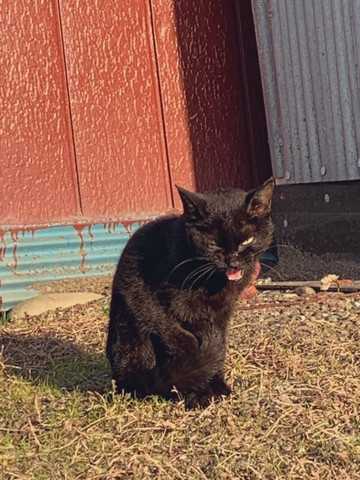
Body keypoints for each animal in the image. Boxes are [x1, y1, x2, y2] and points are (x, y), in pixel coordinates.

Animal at [105, 178, 274, 406]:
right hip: (130, 334)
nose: (233, 261)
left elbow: (219, 342)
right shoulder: (150, 299)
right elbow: (173, 330)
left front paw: (216, 383)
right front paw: (198, 380)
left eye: (247, 241)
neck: (214, 282)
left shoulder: (223, 312)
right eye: (213, 243)